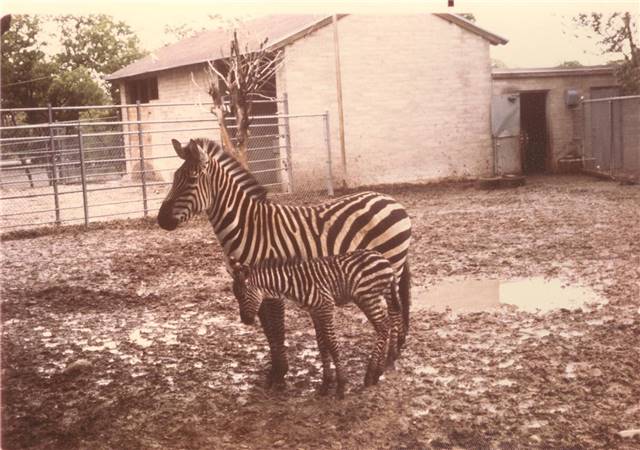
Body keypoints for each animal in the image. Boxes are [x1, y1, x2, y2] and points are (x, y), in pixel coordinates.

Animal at [229, 250, 400, 398]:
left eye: (242, 295)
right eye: (236, 296)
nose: (246, 321)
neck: (294, 283)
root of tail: (383, 258)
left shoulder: (326, 306)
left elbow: (331, 343)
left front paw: (341, 384)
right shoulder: (315, 312)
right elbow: (322, 343)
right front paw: (325, 384)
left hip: (367, 297)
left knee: (382, 326)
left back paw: (370, 374)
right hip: (372, 297)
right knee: (384, 325)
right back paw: (377, 372)